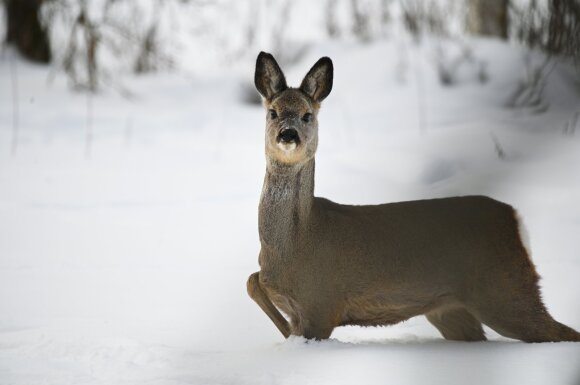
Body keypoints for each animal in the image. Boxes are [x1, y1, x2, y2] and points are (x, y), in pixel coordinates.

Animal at [246, 51, 580, 342]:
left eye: (307, 115)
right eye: (273, 112)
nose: (288, 134)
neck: (296, 244)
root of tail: (515, 220)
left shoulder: (321, 305)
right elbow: (252, 281)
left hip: (504, 289)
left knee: (561, 333)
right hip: (453, 309)